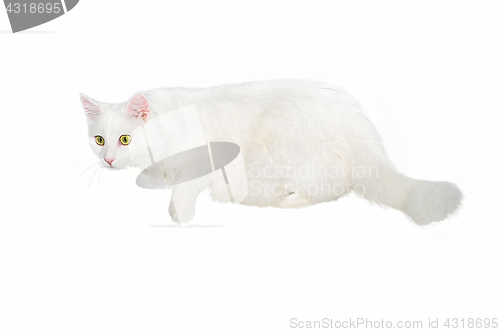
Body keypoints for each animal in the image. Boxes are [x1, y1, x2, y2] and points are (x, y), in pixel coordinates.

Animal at [81, 79, 460, 224]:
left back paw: (283, 201)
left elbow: (185, 190)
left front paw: (181, 216)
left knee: (330, 190)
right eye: (99, 140)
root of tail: (362, 129)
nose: (109, 160)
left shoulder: (203, 158)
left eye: (125, 139)